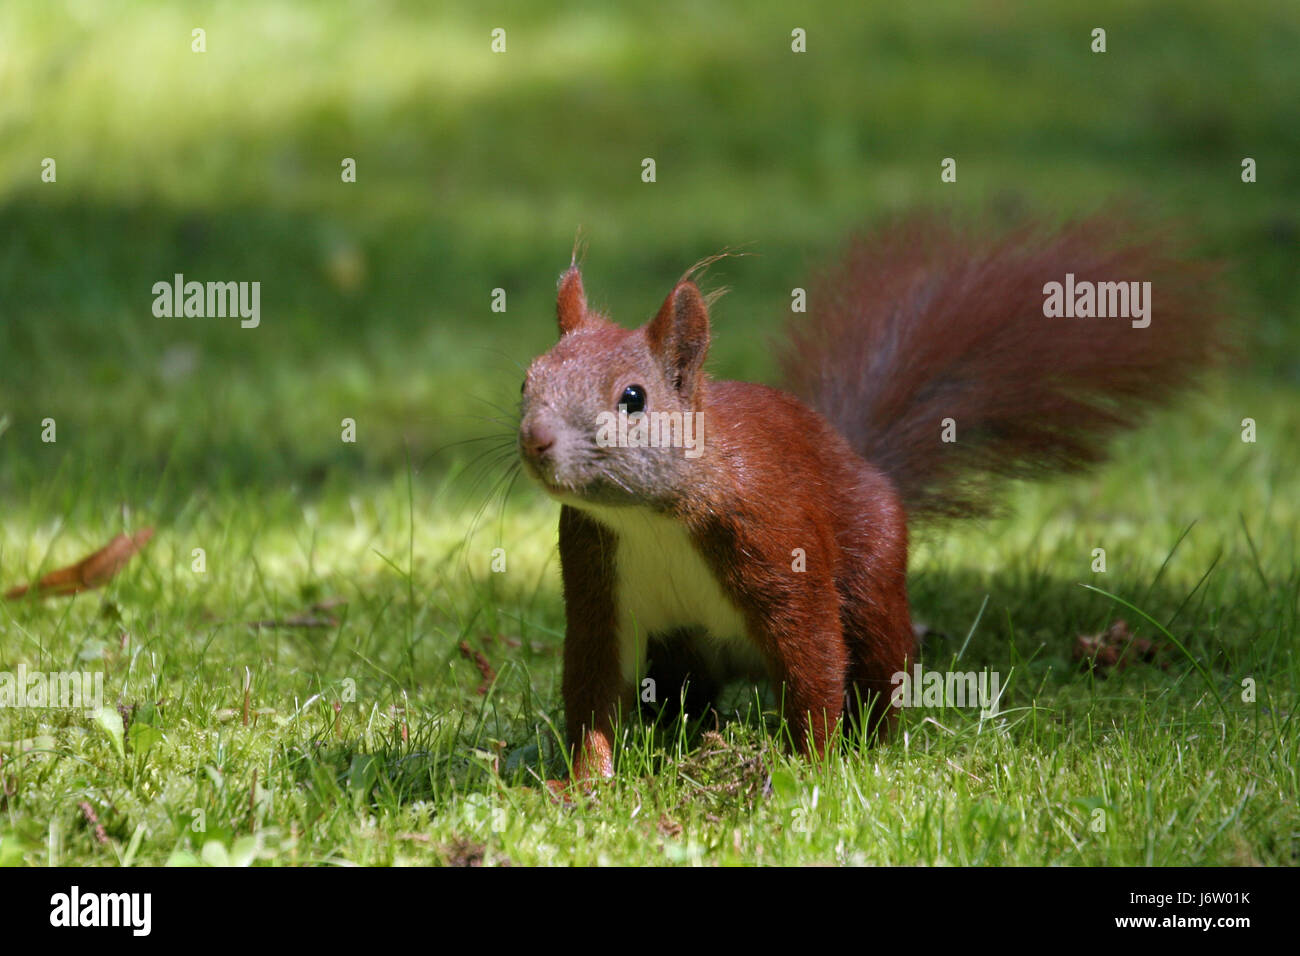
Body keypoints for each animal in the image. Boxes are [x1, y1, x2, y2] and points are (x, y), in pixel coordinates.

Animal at [514, 214, 1216, 785]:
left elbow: (814, 657)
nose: (535, 439)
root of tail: (863, 462)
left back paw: (869, 745)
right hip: (680, 652)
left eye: (633, 397)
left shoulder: (773, 537)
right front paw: (584, 783)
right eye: (527, 379)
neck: (649, 518)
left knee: (878, 663)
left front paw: (808, 768)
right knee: (682, 697)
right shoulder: (595, 575)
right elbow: (592, 682)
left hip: (874, 576)